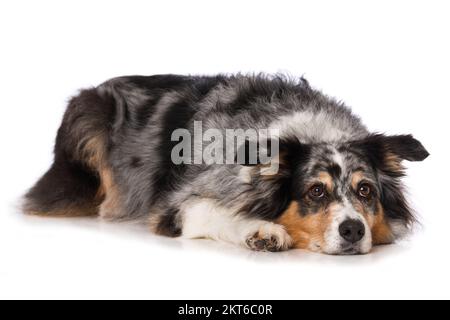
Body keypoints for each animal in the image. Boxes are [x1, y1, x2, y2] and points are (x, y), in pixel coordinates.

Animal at [22, 74, 428, 255]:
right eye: (316, 191)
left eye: (366, 190)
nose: (353, 230)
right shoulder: (178, 206)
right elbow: (216, 212)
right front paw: (262, 230)